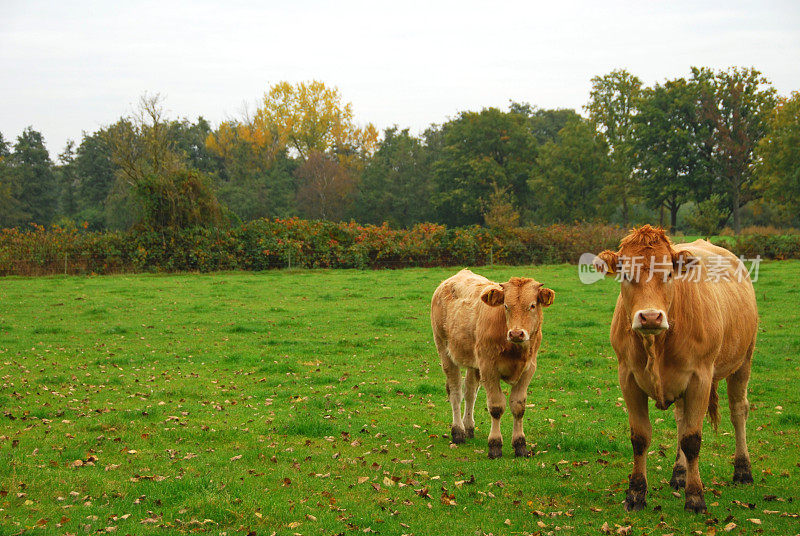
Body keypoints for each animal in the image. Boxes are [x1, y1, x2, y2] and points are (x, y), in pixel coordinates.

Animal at [432, 270, 556, 458]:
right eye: (505, 306)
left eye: (533, 305)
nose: (516, 333)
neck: (514, 349)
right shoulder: (488, 368)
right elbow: (496, 406)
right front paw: (495, 445)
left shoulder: (529, 369)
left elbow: (518, 406)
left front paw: (520, 444)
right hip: (445, 351)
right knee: (455, 392)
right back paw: (458, 432)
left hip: (473, 363)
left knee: (470, 392)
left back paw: (469, 427)